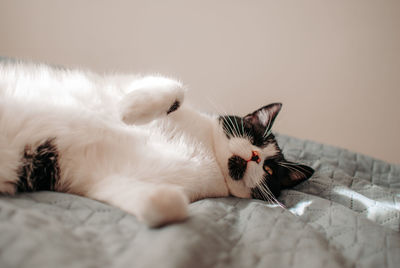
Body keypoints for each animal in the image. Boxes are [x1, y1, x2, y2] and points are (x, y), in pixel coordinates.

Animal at [0, 61, 312, 227]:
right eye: (253, 135)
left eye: (269, 171)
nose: (256, 156)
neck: (208, 151)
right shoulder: (128, 81)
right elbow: (175, 87)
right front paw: (127, 110)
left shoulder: (92, 176)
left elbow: (164, 205)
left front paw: (164, 203)